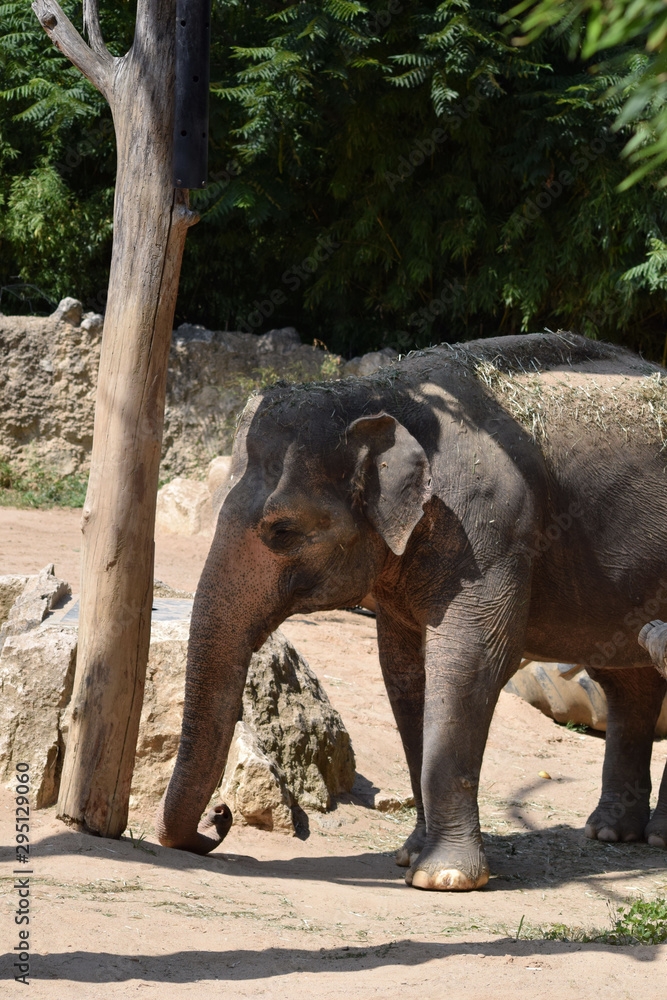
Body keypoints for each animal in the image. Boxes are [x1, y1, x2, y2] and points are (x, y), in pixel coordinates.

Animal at [156, 331, 667, 891]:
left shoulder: (489, 527)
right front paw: (409, 856)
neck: (377, 393)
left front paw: (443, 878)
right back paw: (612, 834)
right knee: (627, 678)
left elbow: (472, 661)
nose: (219, 818)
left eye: (282, 531)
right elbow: (402, 673)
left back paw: (655, 840)